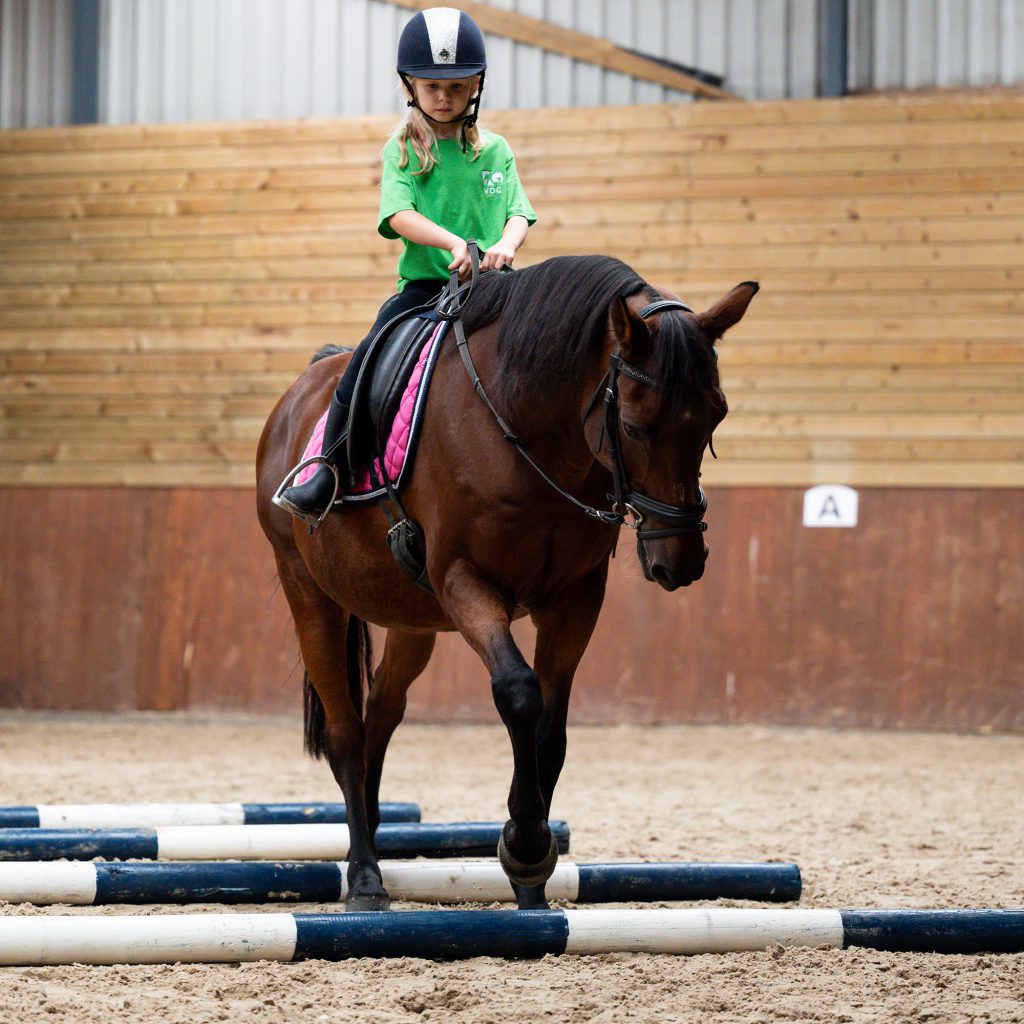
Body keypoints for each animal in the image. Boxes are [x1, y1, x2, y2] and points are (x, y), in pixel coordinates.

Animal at [253, 256, 753, 913]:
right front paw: (525, 848)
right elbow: (518, 692)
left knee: (380, 713)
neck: (529, 429)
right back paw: (363, 875)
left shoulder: (575, 598)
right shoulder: (465, 581)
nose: (682, 560)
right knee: (345, 732)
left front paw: (532, 877)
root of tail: (300, 391)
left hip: (412, 619)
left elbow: (551, 731)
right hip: (309, 596)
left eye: (716, 415)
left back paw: (377, 839)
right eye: (634, 425)